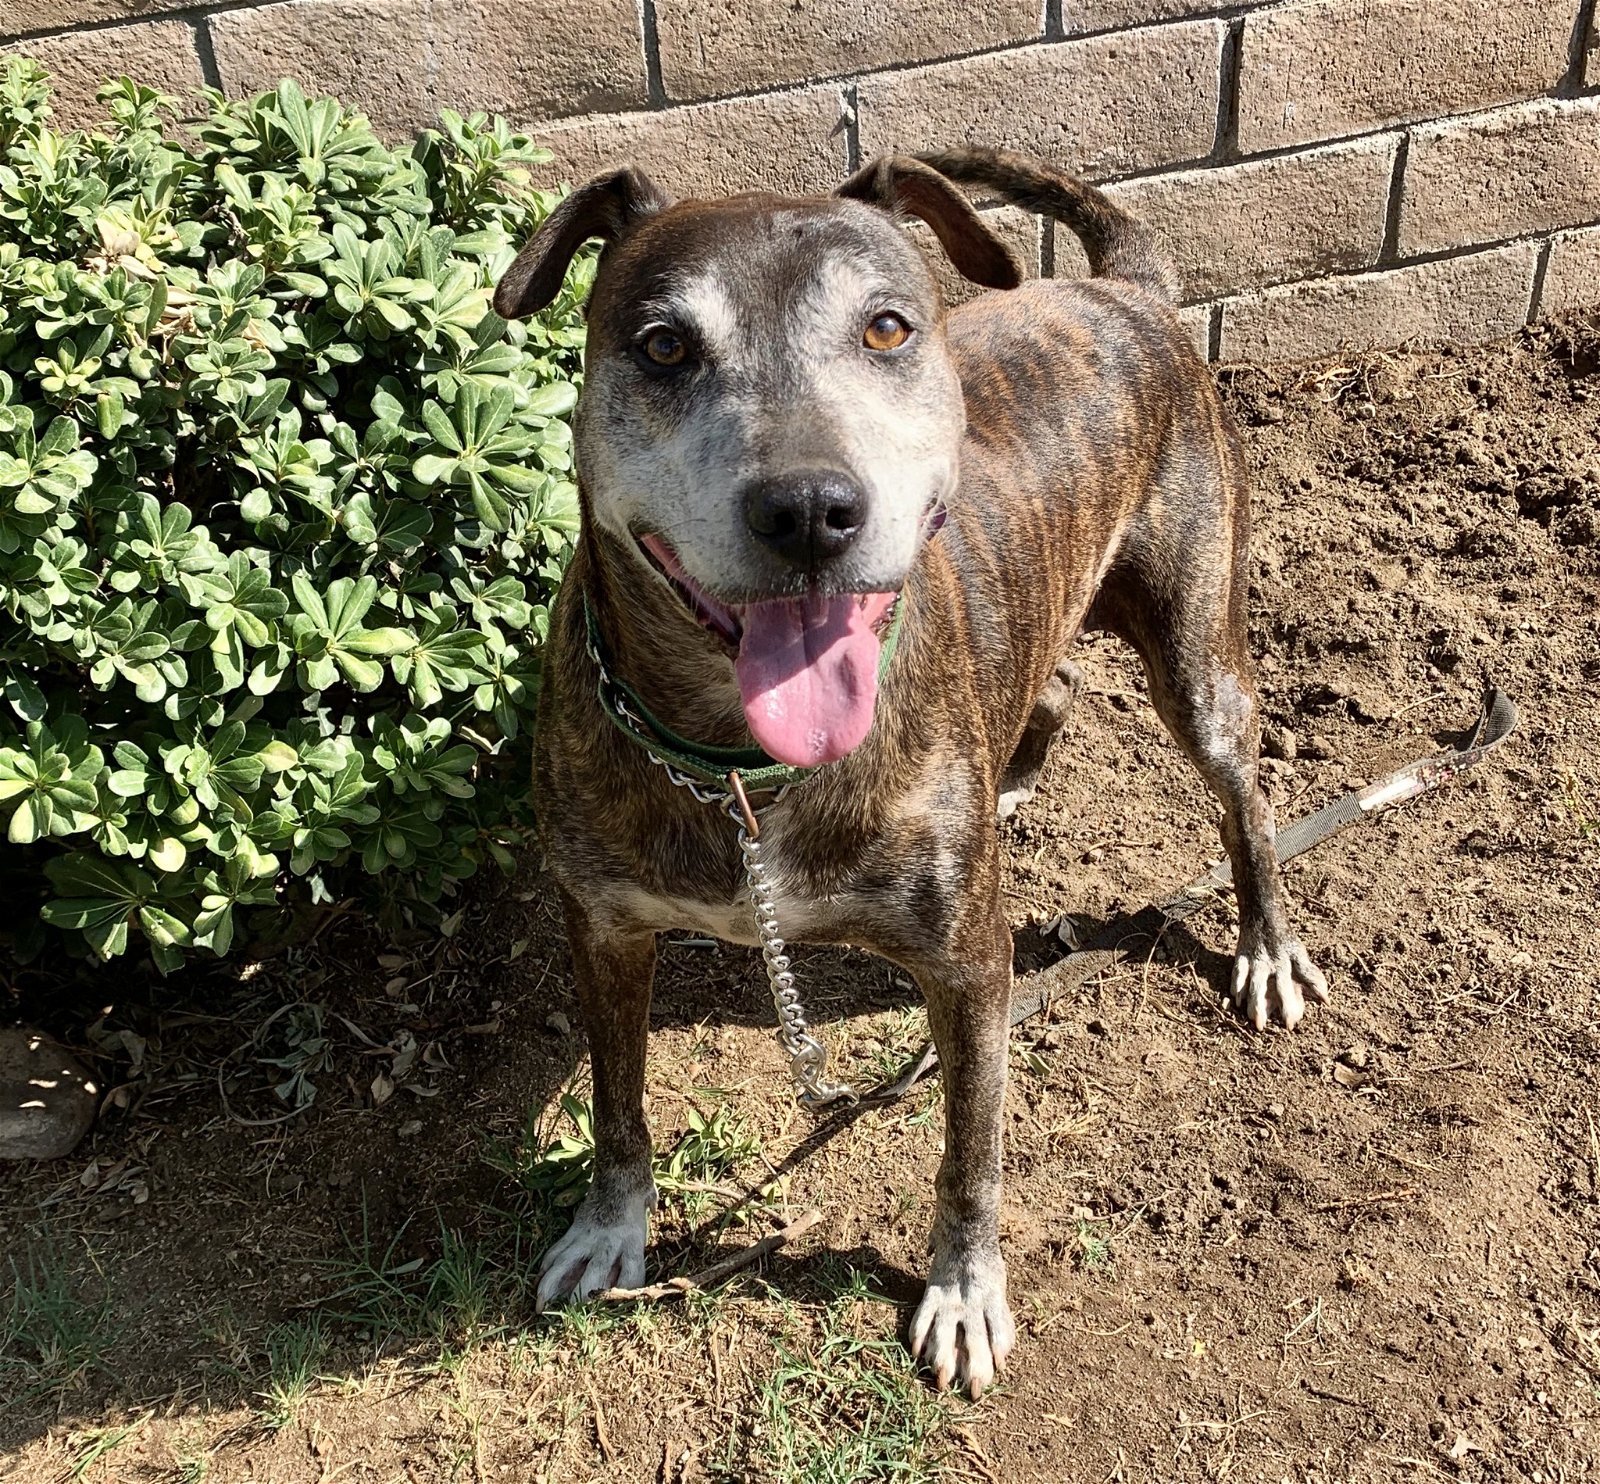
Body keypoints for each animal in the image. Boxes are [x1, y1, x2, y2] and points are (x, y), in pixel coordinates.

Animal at [492, 150, 1331, 1400]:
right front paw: (609, 1223)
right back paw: (1015, 776)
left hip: (1199, 654)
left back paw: (1266, 942)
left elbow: (969, 1149)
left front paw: (964, 1287)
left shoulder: (971, 967)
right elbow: (617, 1099)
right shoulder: (603, 924)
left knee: (1246, 798)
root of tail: (1122, 288)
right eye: (663, 346)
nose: (808, 507)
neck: (741, 769)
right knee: (1051, 693)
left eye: (886, 327)